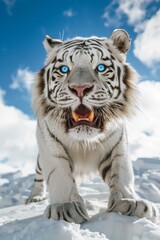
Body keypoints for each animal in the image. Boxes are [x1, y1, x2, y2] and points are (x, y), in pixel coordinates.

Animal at [26, 29, 159, 223]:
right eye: (64, 69)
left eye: (101, 68)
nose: (80, 88)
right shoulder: (49, 142)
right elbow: (58, 173)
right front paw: (65, 207)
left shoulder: (117, 143)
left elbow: (122, 173)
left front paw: (131, 202)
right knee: (39, 177)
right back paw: (35, 197)